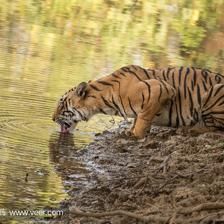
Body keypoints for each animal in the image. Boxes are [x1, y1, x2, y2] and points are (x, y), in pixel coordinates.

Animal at [51, 64, 224, 138]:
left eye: (61, 103)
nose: (52, 118)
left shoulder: (160, 88)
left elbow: (143, 117)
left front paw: (135, 135)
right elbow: (137, 118)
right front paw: (129, 130)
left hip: (213, 93)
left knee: (214, 128)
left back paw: (187, 130)